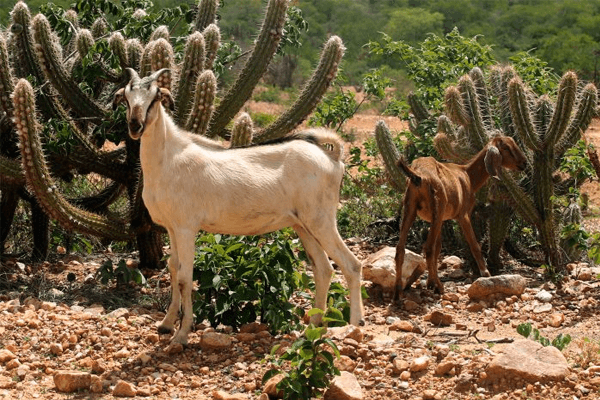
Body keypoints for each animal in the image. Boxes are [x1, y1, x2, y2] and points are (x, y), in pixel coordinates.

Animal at [114, 69, 364, 344]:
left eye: (155, 97)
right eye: (126, 98)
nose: (135, 126)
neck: (168, 160)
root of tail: (333, 157)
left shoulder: (186, 228)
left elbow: (184, 277)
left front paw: (181, 334)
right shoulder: (171, 228)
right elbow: (172, 268)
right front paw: (166, 324)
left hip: (322, 220)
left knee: (351, 265)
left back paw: (354, 327)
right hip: (304, 226)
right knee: (323, 269)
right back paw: (314, 326)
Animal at [394, 135, 524, 300]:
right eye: (506, 147)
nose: (523, 163)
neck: (468, 176)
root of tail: (418, 176)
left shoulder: (440, 220)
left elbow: (438, 248)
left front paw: (430, 282)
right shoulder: (463, 215)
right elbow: (474, 244)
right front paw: (486, 273)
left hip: (411, 209)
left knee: (401, 249)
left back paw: (398, 292)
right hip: (436, 208)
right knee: (428, 248)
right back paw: (440, 287)